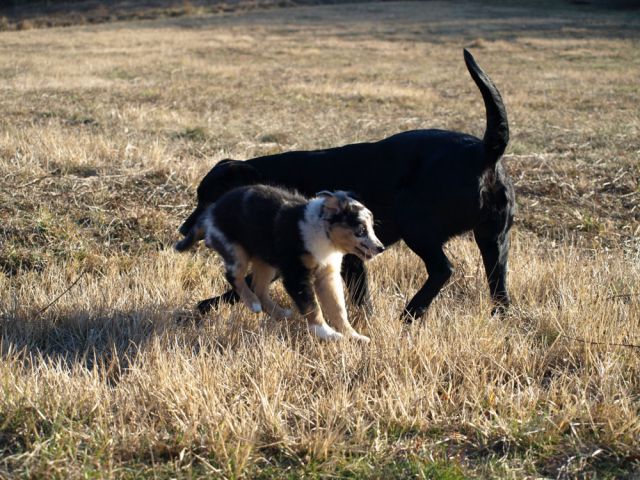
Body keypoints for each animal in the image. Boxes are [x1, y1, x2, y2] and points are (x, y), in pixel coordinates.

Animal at [176, 185, 384, 342]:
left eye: (372, 227)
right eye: (360, 229)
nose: (380, 248)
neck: (324, 232)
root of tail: (211, 212)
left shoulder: (328, 274)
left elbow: (338, 308)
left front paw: (353, 336)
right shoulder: (296, 274)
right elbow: (312, 307)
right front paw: (328, 334)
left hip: (266, 262)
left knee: (259, 288)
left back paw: (280, 313)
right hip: (236, 250)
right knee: (234, 277)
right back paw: (253, 304)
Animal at [179, 49, 516, 322]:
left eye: (209, 200)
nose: (184, 229)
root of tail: (483, 152)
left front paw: (206, 305)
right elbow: (359, 295)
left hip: (418, 226)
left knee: (443, 269)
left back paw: (410, 313)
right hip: (493, 240)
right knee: (498, 284)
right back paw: (498, 318)